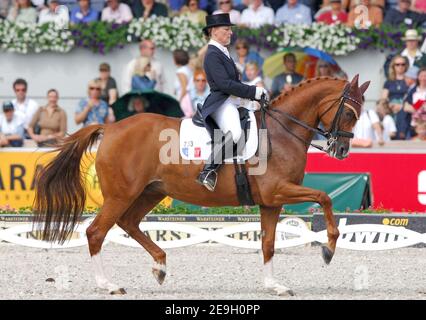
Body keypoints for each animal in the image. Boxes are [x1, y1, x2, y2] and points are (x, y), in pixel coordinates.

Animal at [33, 74, 370, 296]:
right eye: (349, 112)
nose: (342, 150)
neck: (282, 131)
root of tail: (111, 127)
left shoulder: (270, 202)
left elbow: (268, 243)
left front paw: (274, 285)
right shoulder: (278, 190)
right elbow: (324, 197)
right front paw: (328, 249)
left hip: (150, 191)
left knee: (129, 223)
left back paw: (160, 267)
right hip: (121, 194)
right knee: (96, 231)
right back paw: (109, 285)